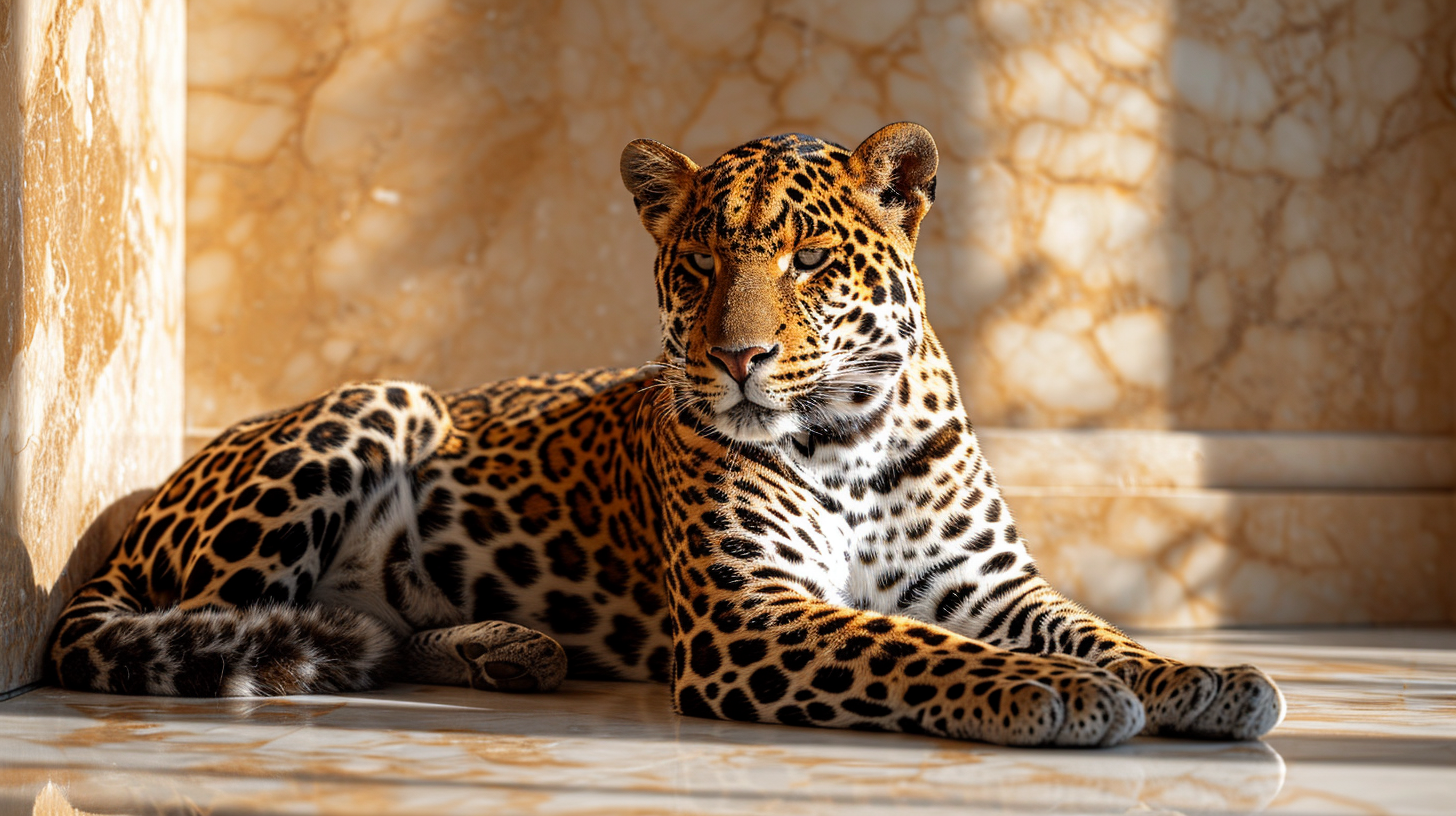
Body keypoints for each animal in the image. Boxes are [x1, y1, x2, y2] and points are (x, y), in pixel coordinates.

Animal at [45, 122, 1281, 746]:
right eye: (695, 269)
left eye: (810, 262)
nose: (737, 359)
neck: (853, 435)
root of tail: (139, 520)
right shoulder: (749, 617)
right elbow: (912, 646)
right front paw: (1052, 694)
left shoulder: (992, 584)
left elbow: (1099, 631)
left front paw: (1202, 679)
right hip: (382, 402)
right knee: (236, 632)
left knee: (360, 629)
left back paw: (509, 648)